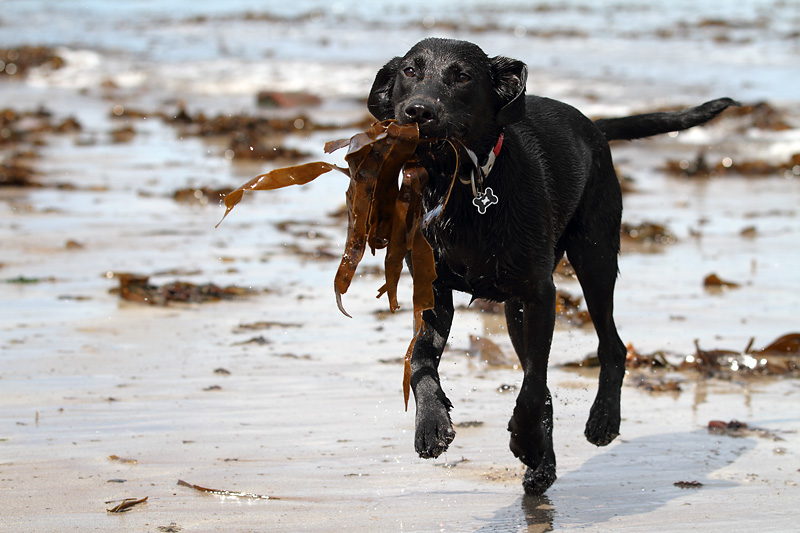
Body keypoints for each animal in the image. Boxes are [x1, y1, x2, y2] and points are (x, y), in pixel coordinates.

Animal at [368, 38, 736, 494]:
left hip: (594, 258)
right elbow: (420, 359)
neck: (463, 189)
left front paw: (526, 440)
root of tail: (593, 126)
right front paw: (431, 425)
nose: (417, 111)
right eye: (409, 72)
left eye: (463, 76)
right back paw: (543, 466)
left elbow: (532, 384)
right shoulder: (435, 293)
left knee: (610, 346)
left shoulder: (541, 295)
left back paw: (600, 421)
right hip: (514, 308)